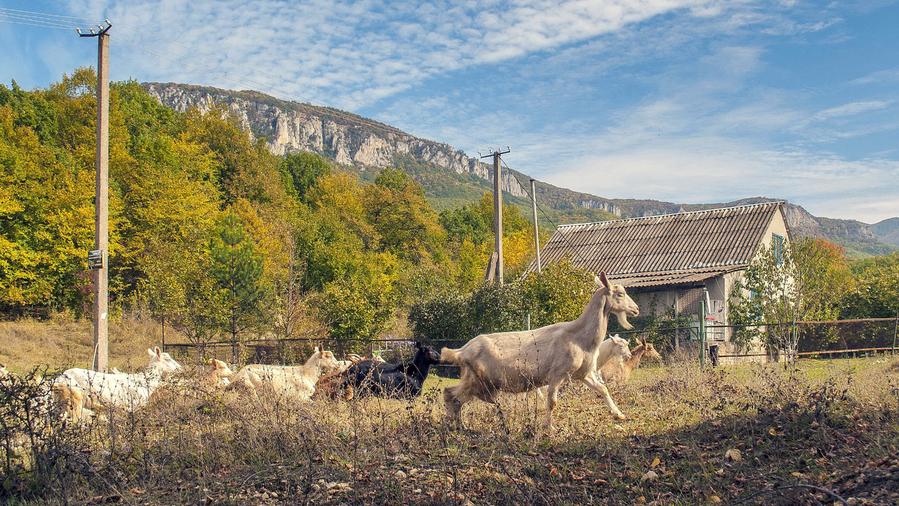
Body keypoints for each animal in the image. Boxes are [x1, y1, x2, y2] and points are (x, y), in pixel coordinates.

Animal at [442, 270, 640, 428]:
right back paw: (456, 426)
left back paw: (458, 425)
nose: (636, 309)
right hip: (479, 382)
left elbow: (603, 389)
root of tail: (462, 350)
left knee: (451, 394)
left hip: (475, 380)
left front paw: (619, 414)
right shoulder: (557, 374)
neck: (578, 336)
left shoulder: (583, 373)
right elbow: (552, 402)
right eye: (620, 294)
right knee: (452, 395)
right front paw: (549, 427)